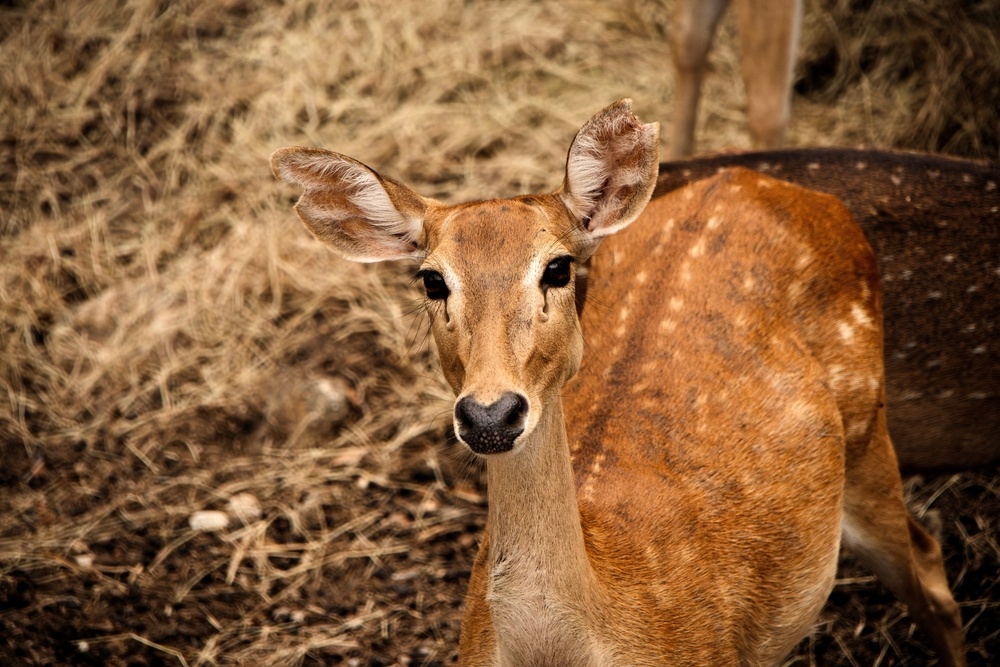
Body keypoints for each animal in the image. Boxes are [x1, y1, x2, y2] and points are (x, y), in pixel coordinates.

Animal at [271, 100, 965, 665]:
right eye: (432, 279)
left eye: (557, 267)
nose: (490, 414)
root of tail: (763, 181)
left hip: (869, 426)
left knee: (932, 570)